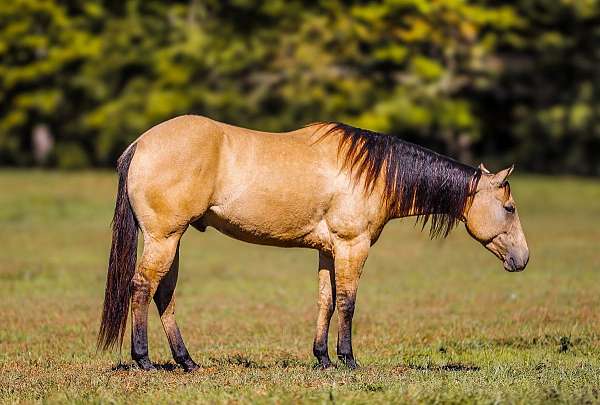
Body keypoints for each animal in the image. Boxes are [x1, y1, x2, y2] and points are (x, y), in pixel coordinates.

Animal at [99, 113, 528, 370]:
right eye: (508, 207)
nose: (523, 259)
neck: (370, 172)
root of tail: (140, 144)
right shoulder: (353, 247)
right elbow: (349, 304)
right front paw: (348, 360)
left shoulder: (327, 251)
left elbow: (326, 302)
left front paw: (322, 359)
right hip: (164, 238)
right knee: (142, 287)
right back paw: (144, 360)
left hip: (172, 240)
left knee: (163, 294)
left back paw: (187, 361)